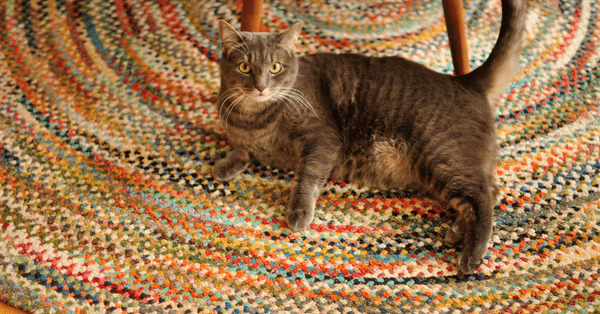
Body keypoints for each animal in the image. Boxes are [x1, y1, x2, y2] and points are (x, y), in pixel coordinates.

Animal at [212, 0, 524, 274]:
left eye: (275, 67)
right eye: (244, 68)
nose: (261, 87)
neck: (255, 117)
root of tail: (466, 81)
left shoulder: (322, 138)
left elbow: (307, 177)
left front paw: (299, 211)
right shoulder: (248, 137)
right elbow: (242, 149)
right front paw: (225, 164)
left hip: (440, 156)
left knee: (482, 197)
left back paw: (471, 255)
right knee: (490, 190)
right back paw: (457, 232)